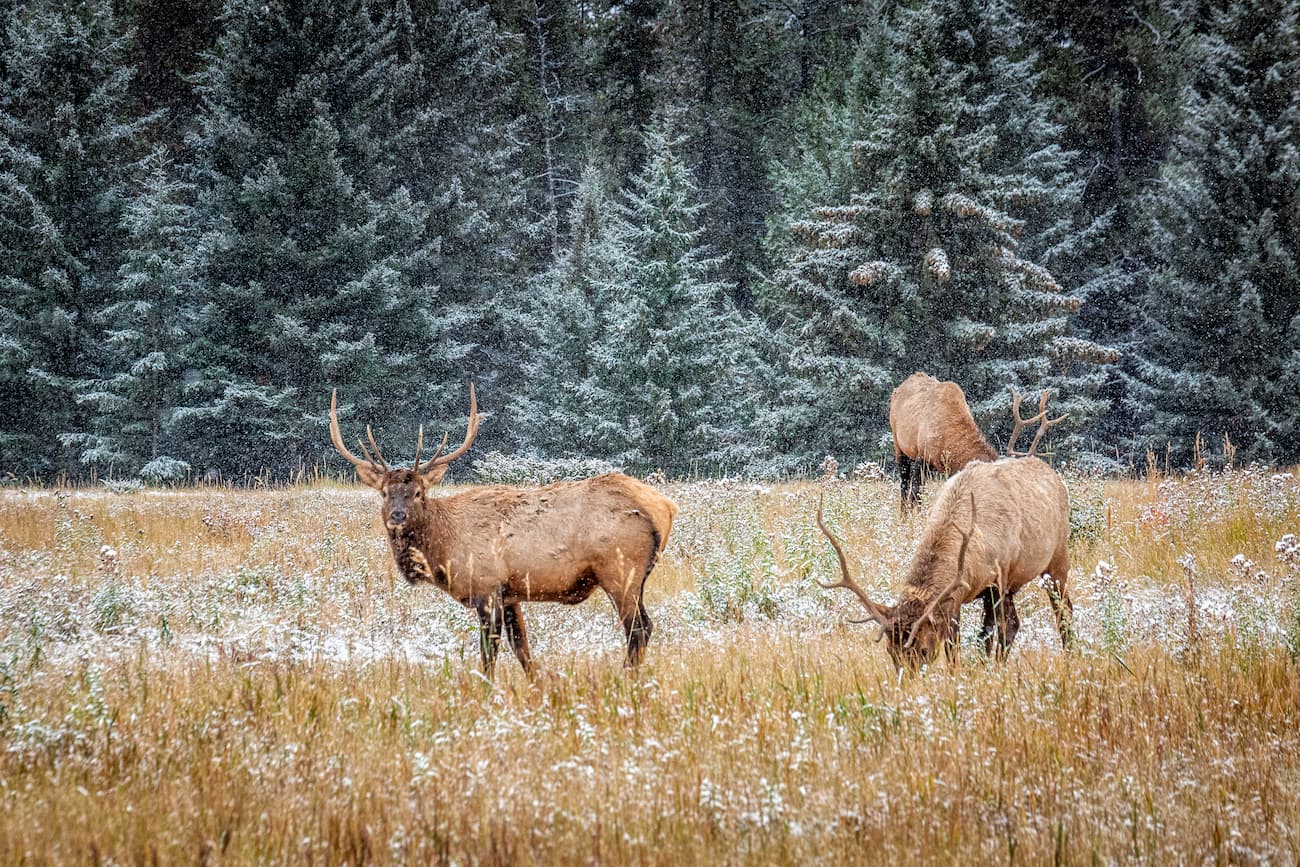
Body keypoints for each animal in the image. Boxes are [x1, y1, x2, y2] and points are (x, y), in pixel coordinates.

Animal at [328, 385, 678, 678]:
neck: (444, 549)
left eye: (418, 493)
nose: (397, 516)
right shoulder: (511, 594)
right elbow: (522, 650)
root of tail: (665, 507)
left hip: (620, 571)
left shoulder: (487, 587)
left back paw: (625, 679)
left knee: (639, 629)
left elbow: (489, 653)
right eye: (385, 493)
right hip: (634, 577)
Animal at [815, 455, 1074, 670]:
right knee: (1015, 625)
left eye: (924, 650)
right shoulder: (960, 598)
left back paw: (1070, 655)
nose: (907, 683)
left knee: (1063, 612)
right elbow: (963, 642)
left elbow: (986, 634)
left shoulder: (998, 579)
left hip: (1058, 558)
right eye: (890, 651)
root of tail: (1055, 477)